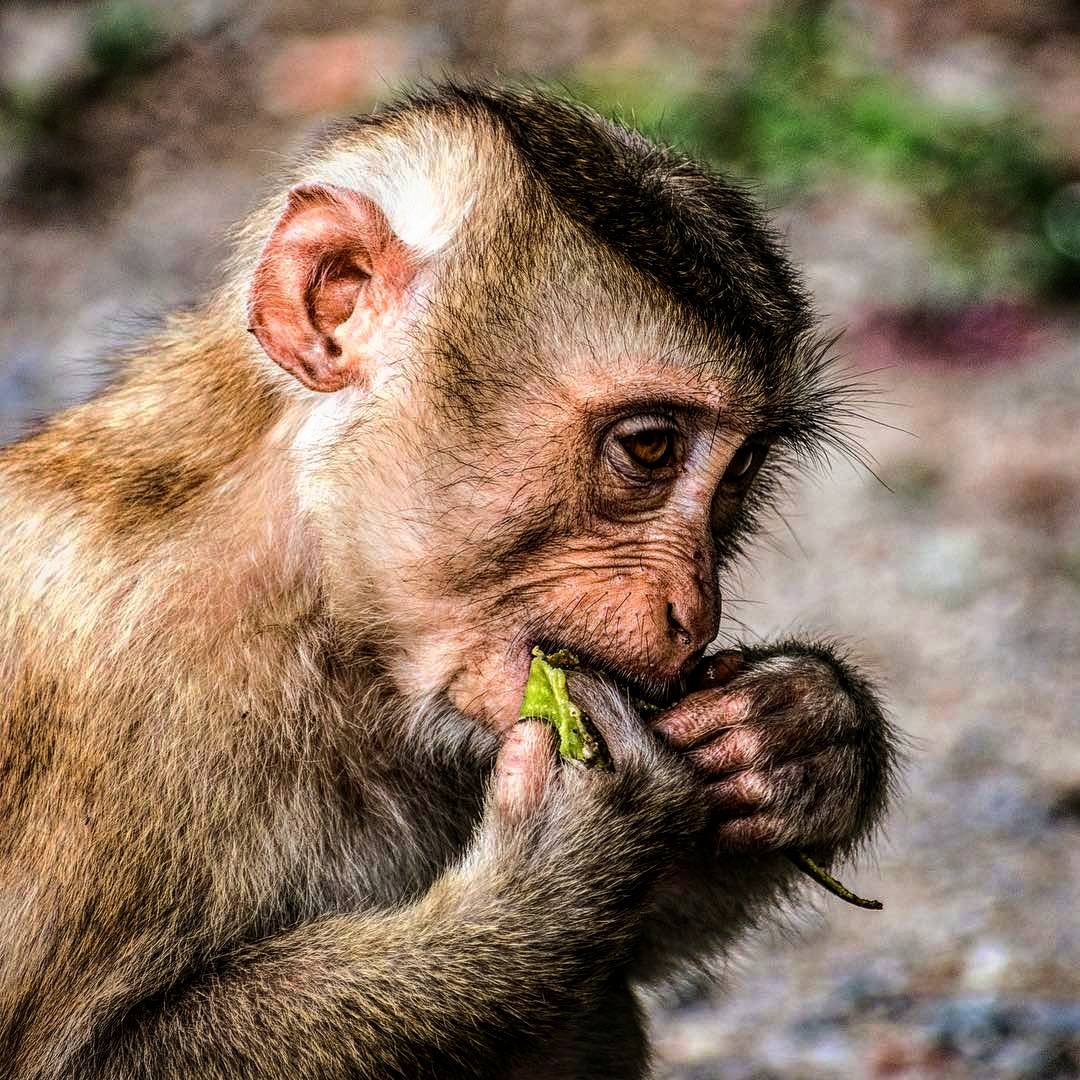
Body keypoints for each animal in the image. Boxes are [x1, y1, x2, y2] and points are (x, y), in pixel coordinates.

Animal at [0, 81, 898, 1079]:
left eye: (740, 469)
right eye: (650, 447)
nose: (692, 613)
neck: (312, 597)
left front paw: (807, 733)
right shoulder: (109, 682)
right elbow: (85, 1057)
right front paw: (567, 869)